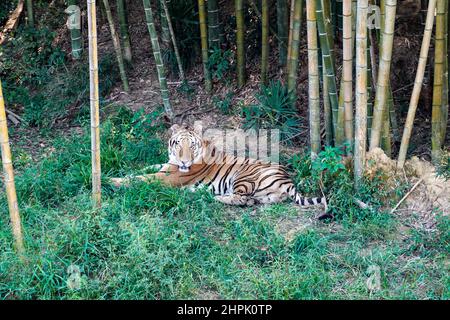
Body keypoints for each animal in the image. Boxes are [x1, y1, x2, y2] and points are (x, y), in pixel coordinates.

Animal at [109, 121, 326, 209]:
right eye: (178, 143)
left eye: (191, 145)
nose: (184, 161)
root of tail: (289, 180)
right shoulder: (165, 167)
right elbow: (146, 168)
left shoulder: (168, 177)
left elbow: (140, 179)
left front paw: (110, 180)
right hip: (264, 195)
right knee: (249, 201)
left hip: (244, 177)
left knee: (239, 199)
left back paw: (209, 196)